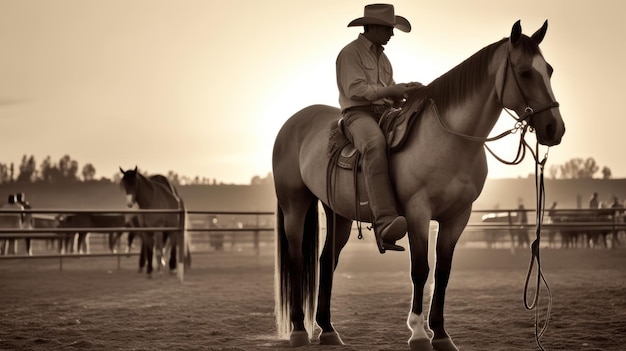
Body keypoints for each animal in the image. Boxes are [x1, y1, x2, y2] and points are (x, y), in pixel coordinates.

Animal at [270, 20, 564, 350]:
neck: (450, 140)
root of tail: (293, 123)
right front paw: (419, 333)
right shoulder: (417, 212)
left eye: (549, 70)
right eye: (525, 72)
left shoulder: (457, 216)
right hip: (294, 204)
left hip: (338, 214)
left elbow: (443, 272)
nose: (555, 128)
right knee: (296, 259)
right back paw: (298, 329)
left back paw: (328, 329)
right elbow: (421, 269)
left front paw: (442, 334)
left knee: (325, 261)